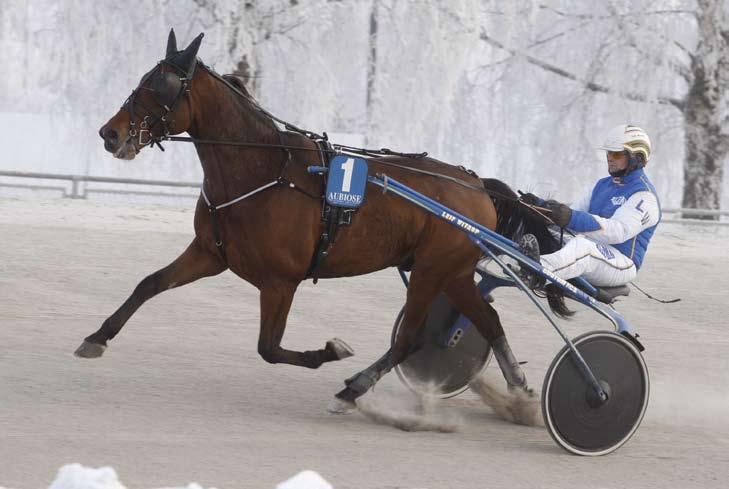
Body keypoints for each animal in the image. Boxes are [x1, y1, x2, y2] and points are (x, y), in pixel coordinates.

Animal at [77, 29, 564, 412]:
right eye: (142, 80)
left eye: (161, 87)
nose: (110, 134)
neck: (261, 171)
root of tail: (477, 185)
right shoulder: (209, 253)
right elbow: (150, 284)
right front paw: (97, 337)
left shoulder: (281, 281)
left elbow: (269, 348)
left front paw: (331, 351)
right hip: (454, 273)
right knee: (489, 322)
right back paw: (519, 392)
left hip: (431, 269)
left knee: (410, 339)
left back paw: (354, 389)